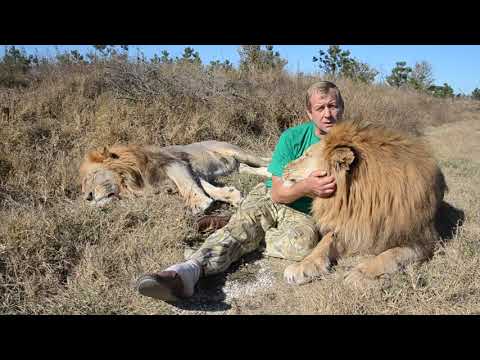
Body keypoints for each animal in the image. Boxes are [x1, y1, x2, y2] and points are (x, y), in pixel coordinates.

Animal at [80, 141, 272, 214]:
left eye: (91, 177)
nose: (87, 197)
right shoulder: (189, 171)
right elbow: (204, 187)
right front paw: (231, 195)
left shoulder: (174, 164)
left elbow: (187, 185)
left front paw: (199, 204)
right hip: (238, 165)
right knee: (249, 169)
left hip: (240, 153)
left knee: (266, 161)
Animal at [282, 121, 446, 286]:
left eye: (307, 155)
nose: (284, 168)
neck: (360, 201)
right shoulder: (349, 228)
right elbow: (323, 244)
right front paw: (303, 265)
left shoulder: (424, 241)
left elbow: (389, 255)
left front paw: (360, 274)